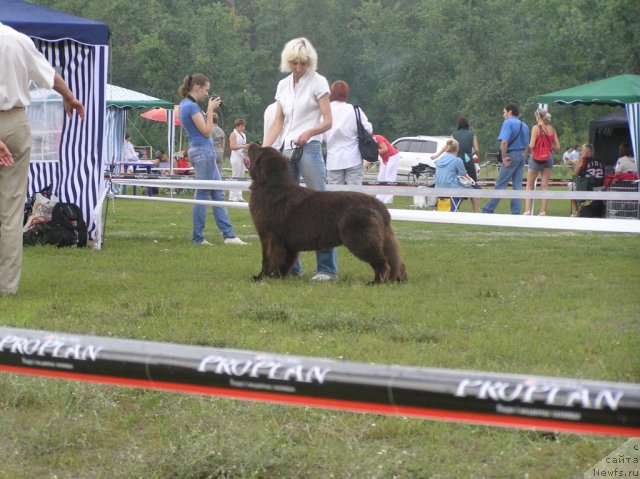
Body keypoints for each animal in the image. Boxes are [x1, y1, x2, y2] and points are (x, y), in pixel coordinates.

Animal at [245, 144, 404, 284]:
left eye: (258, 150)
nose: (251, 143)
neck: (271, 187)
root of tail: (380, 206)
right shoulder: (287, 243)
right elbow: (284, 262)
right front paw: (278, 277)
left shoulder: (269, 236)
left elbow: (268, 259)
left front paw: (262, 278)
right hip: (383, 240)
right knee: (396, 262)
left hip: (360, 238)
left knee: (383, 263)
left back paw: (376, 282)